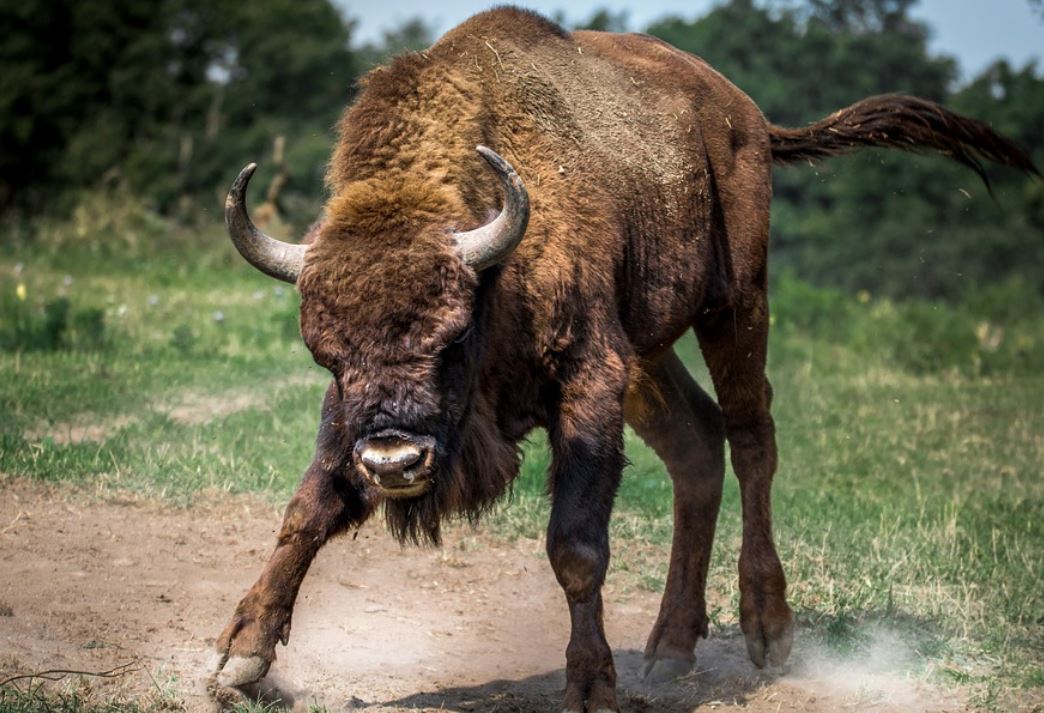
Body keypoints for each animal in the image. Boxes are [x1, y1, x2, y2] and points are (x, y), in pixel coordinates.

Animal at [209, 7, 1037, 711]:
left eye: (452, 336)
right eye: (327, 353)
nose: (393, 461)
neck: (496, 262)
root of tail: (743, 116)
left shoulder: (590, 381)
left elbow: (575, 544)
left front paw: (591, 685)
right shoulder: (360, 414)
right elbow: (309, 506)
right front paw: (239, 658)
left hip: (734, 304)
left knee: (751, 437)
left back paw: (768, 629)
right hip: (649, 352)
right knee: (696, 445)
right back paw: (669, 648)